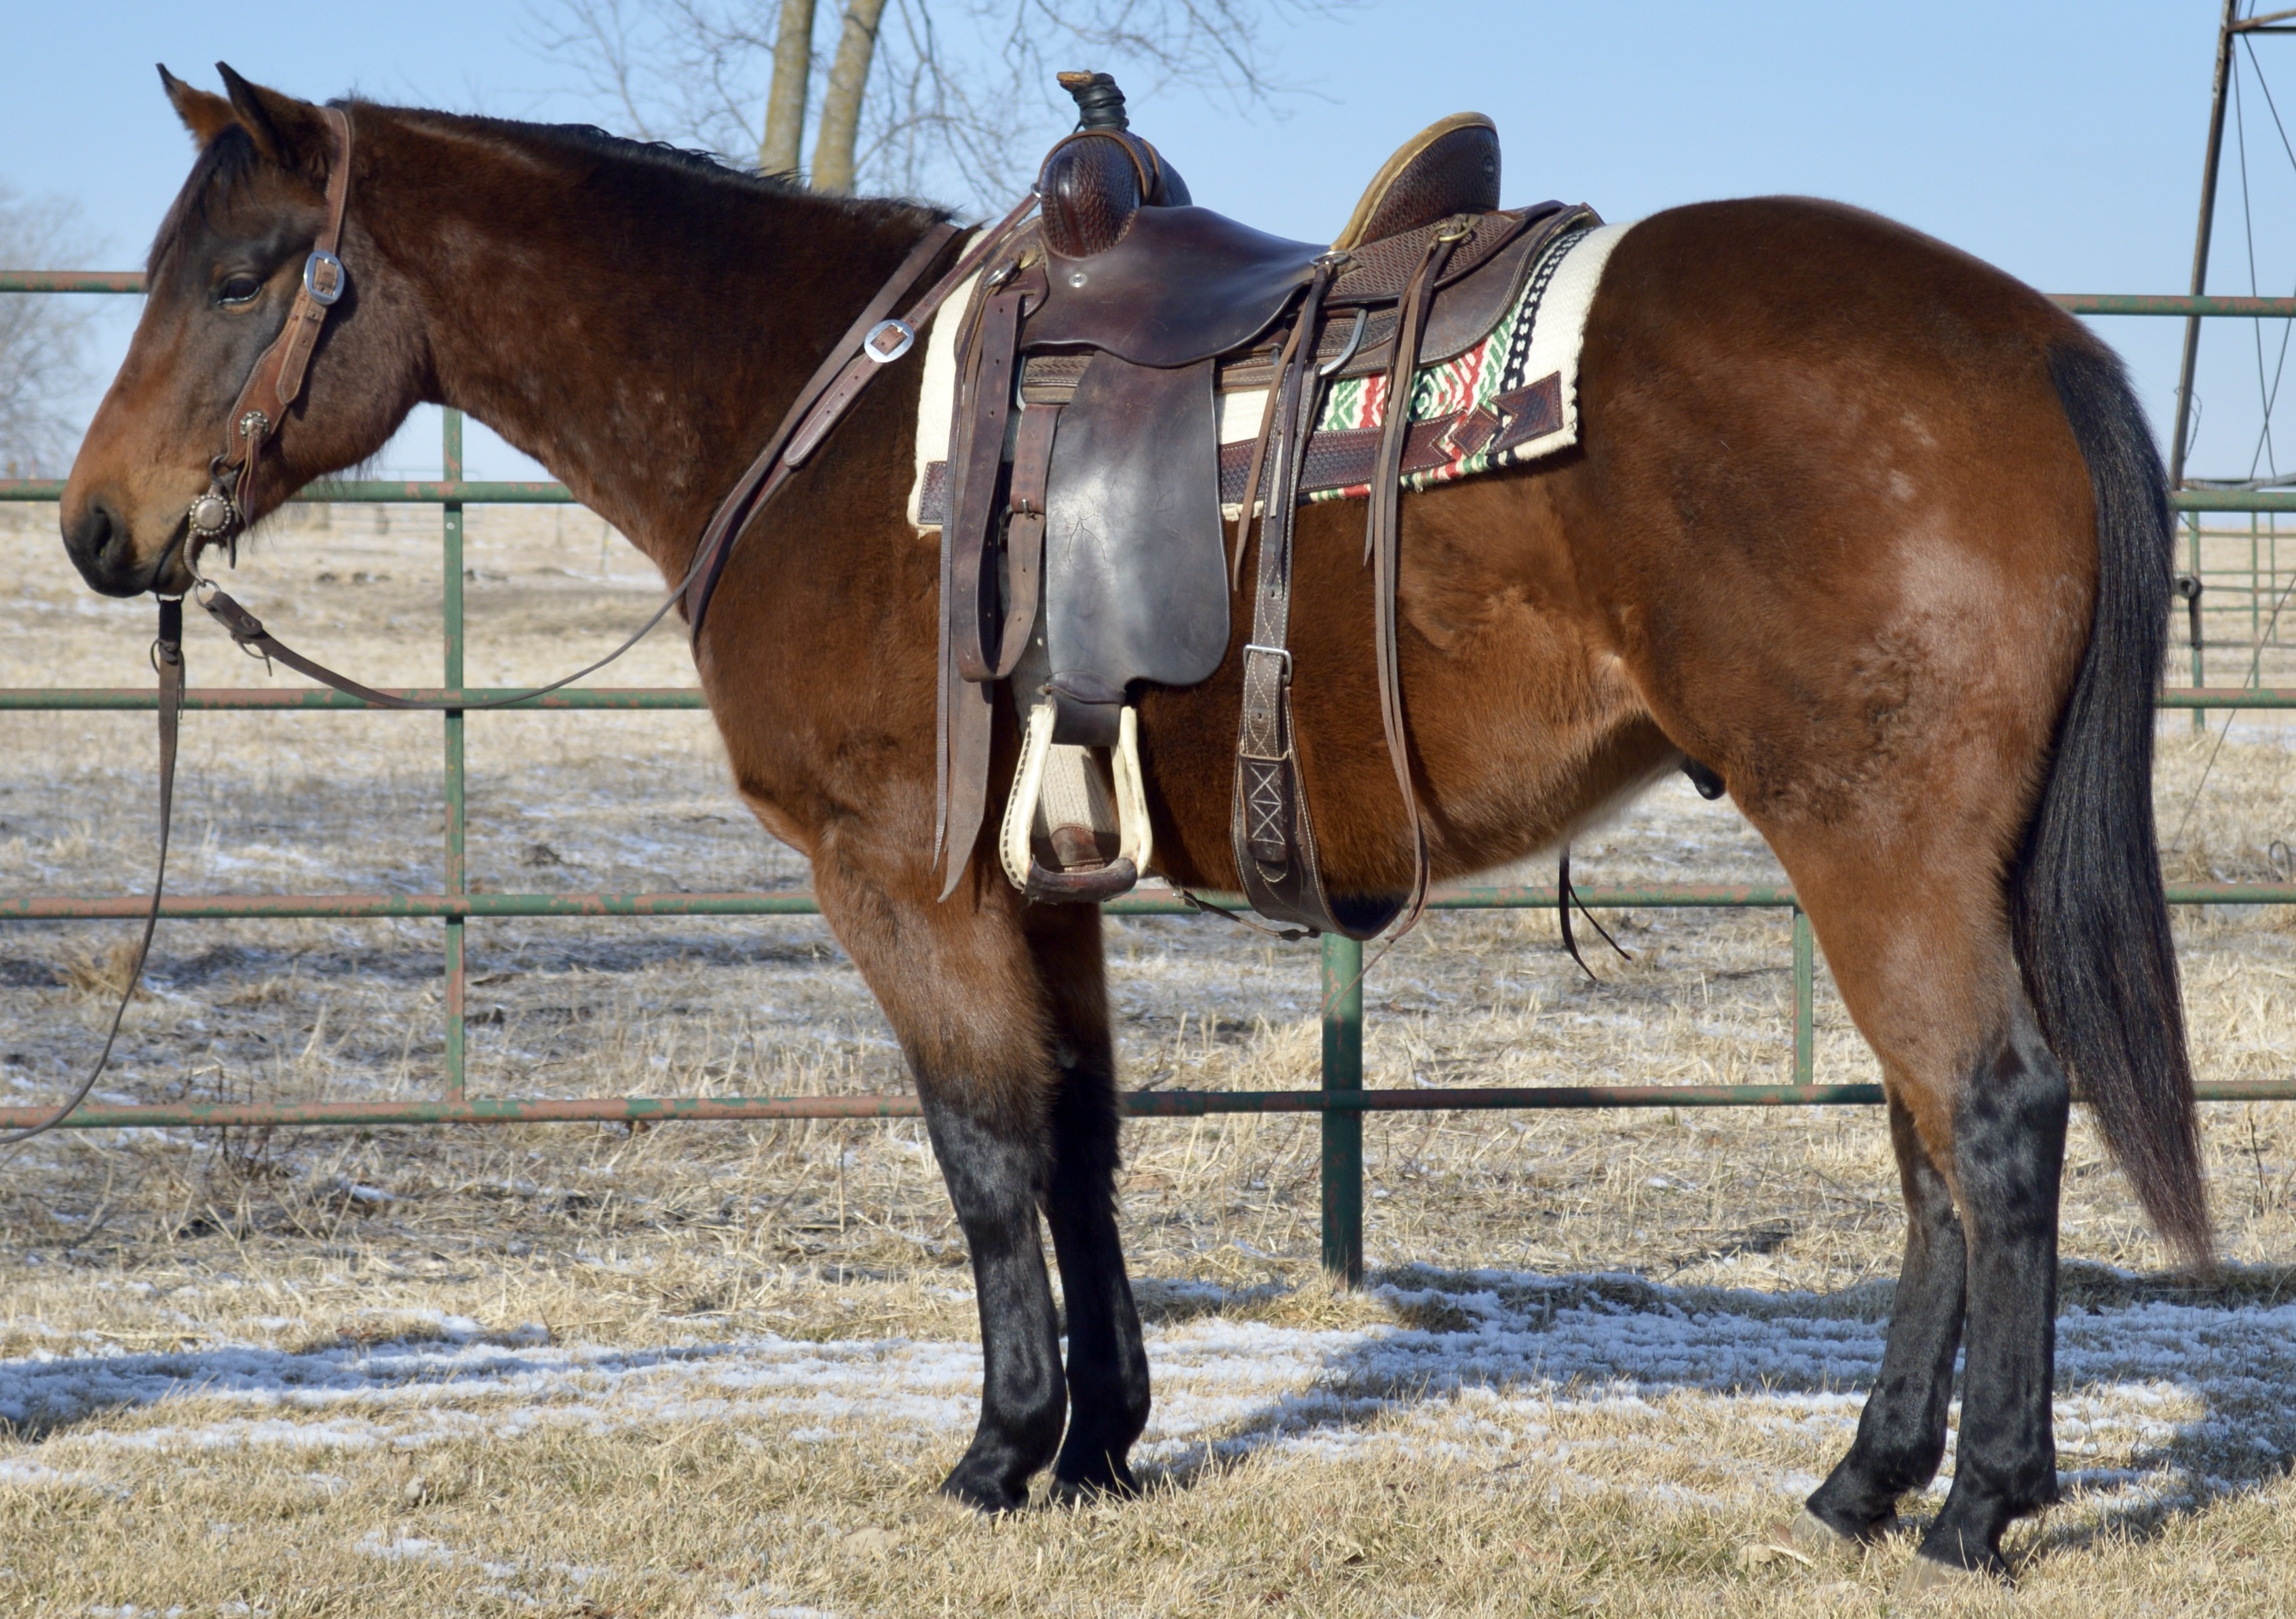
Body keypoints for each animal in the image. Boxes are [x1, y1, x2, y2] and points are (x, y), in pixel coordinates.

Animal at [60, 67, 2202, 1587]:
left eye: (241, 275)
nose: (94, 528)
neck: (818, 416)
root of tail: (2035, 341)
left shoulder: (895, 875)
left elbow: (983, 1145)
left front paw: (1003, 1445)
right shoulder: (1043, 879)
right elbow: (1082, 1134)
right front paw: (1102, 1441)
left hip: (1873, 841)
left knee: (1991, 1116)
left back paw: (1977, 1500)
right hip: (1905, 850)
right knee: (1929, 1145)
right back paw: (1864, 1477)